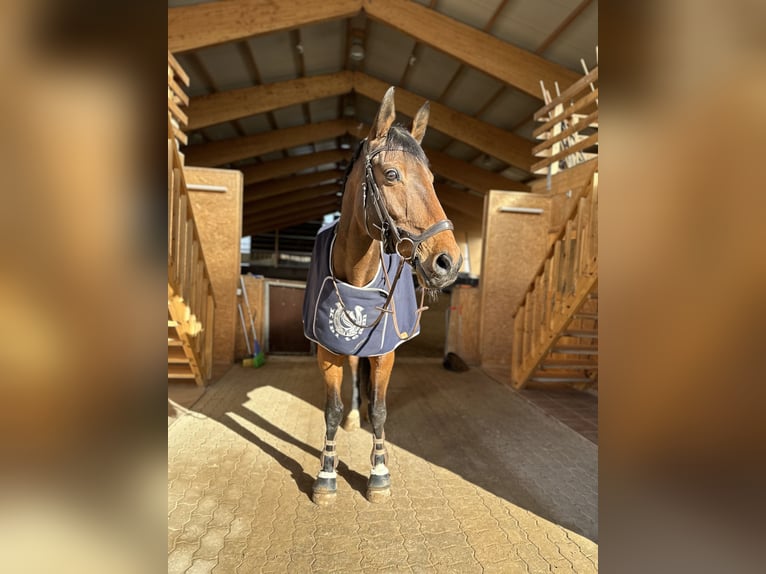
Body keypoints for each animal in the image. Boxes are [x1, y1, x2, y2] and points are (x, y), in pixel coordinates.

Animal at [304, 85, 462, 504]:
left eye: (433, 178)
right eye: (391, 174)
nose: (449, 261)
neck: (358, 275)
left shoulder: (385, 353)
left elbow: (379, 410)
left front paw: (379, 472)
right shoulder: (327, 352)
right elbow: (331, 409)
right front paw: (326, 474)